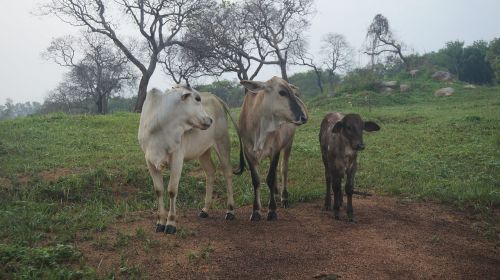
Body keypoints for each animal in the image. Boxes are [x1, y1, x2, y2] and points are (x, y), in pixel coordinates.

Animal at [139, 85, 244, 234]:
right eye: (197, 98)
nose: (209, 120)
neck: (159, 125)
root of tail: (216, 97)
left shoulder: (177, 159)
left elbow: (172, 190)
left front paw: (171, 223)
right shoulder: (150, 161)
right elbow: (158, 190)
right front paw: (160, 222)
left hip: (222, 143)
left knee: (227, 172)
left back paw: (230, 211)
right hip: (203, 151)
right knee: (210, 172)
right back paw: (205, 210)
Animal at [239, 76, 308, 221]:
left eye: (292, 93)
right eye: (282, 92)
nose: (303, 117)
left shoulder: (275, 150)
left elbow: (270, 178)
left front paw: (272, 210)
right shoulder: (248, 153)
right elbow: (256, 180)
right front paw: (256, 211)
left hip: (288, 143)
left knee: (283, 169)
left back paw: (283, 197)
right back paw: (275, 194)